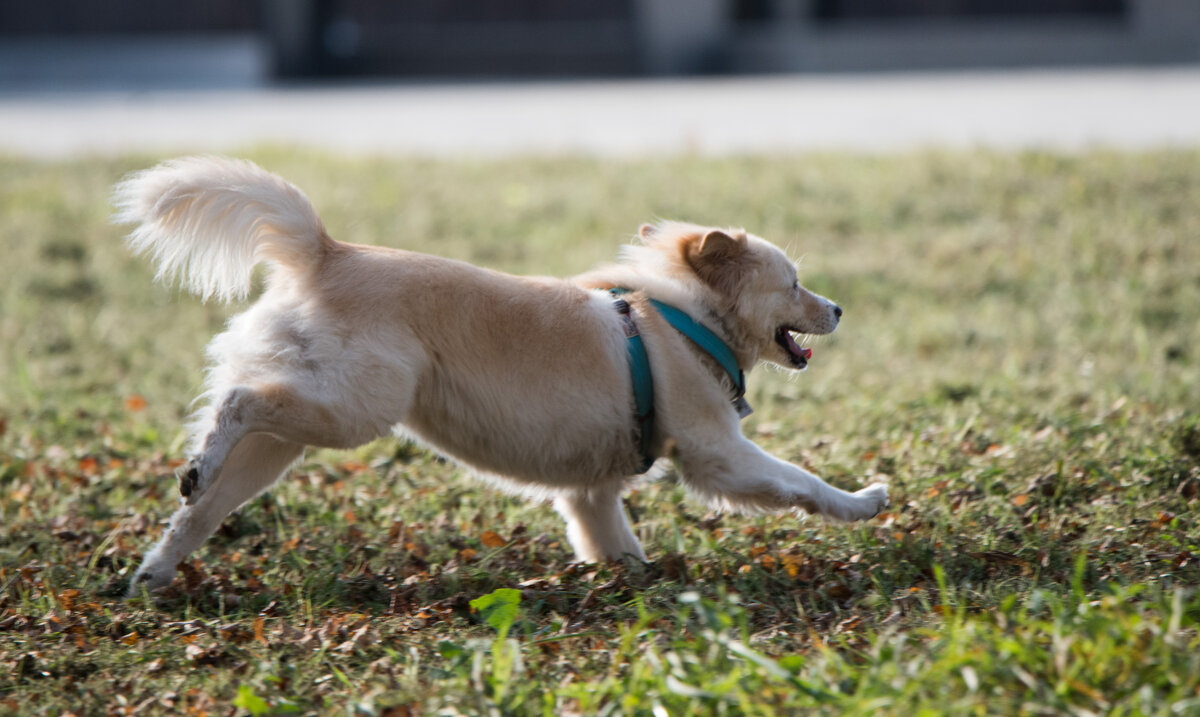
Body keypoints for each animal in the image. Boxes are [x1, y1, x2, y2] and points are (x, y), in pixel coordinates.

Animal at [112, 157, 888, 594]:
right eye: (794, 284)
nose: (839, 309)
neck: (685, 316)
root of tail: (326, 253)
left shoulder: (589, 494)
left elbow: (616, 544)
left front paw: (633, 583)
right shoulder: (718, 454)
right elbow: (799, 482)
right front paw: (863, 501)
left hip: (288, 439)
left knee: (206, 498)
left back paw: (158, 562)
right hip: (354, 408)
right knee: (241, 400)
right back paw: (195, 477)